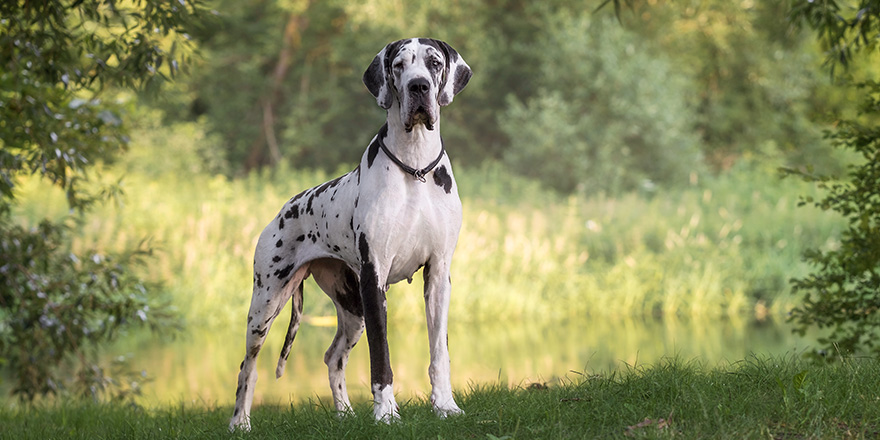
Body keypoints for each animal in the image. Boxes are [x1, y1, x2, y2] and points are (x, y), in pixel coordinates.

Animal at [230, 37, 470, 430]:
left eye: (434, 63)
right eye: (399, 65)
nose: (419, 87)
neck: (415, 166)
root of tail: (284, 208)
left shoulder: (438, 275)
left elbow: (440, 353)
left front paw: (445, 406)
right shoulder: (375, 279)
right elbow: (381, 359)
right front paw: (386, 412)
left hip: (352, 310)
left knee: (332, 357)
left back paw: (344, 413)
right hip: (265, 304)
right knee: (247, 365)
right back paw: (240, 422)